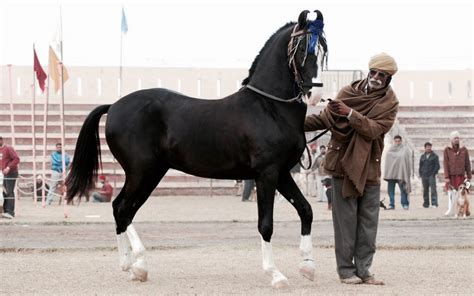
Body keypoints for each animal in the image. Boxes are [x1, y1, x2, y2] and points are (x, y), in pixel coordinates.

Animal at [66, 10, 326, 288]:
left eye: (323, 51)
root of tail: (114, 105)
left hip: (150, 174)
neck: (269, 107)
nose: (314, 94)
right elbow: (266, 224)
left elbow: (306, 210)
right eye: (302, 49)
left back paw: (130, 266)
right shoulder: (266, 174)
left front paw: (308, 267)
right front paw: (275, 275)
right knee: (123, 209)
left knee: (122, 209)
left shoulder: (282, 173)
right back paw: (139, 265)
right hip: (141, 172)